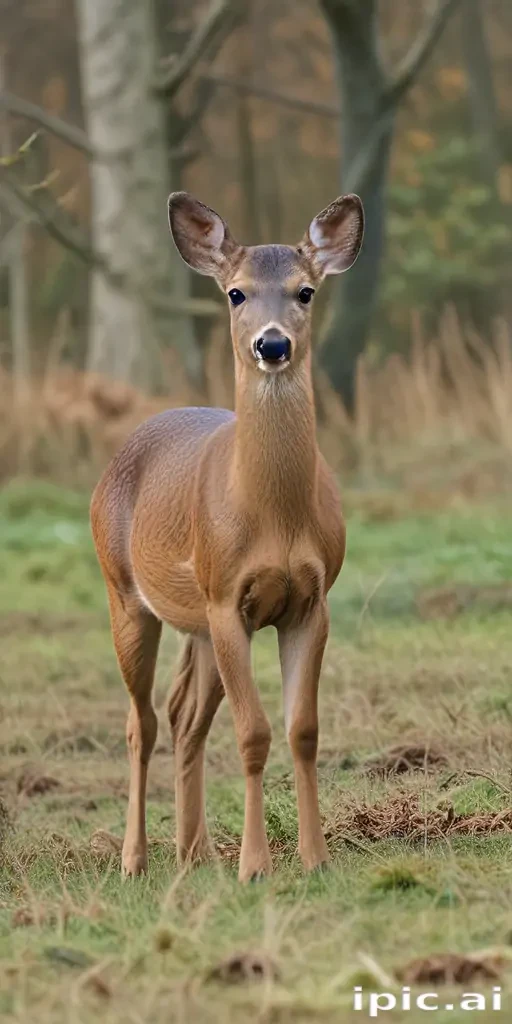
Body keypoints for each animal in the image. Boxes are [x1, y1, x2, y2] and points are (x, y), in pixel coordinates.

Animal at [90, 191, 364, 882]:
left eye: (305, 292)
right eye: (237, 293)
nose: (273, 344)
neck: (272, 516)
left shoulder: (311, 602)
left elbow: (302, 730)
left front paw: (315, 859)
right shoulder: (225, 598)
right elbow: (254, 732)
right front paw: (256, 865)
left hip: (198, 625)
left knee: (184, 717)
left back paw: (195, 854)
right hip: (126, 594)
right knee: (141, 721)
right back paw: (136, 859)